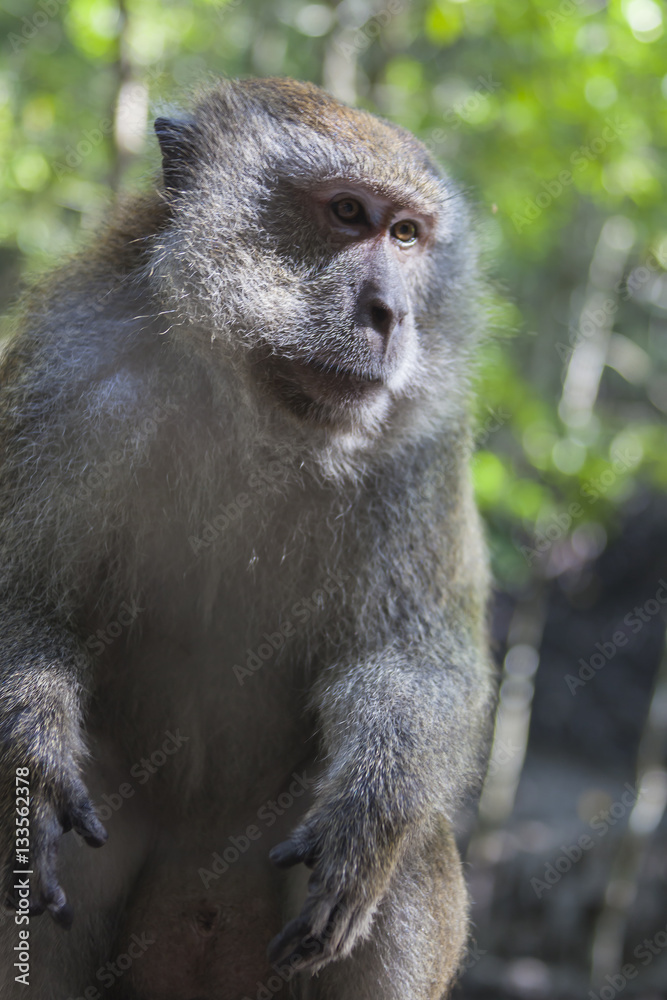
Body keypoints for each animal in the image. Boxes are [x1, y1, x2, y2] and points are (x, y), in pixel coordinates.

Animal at [0, 80, 496, 1000]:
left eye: (406, 236)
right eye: (346, 213)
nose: (391, 313)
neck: (255, 402)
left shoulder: (423, 443)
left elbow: (416, 654)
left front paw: (370, 817)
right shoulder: (68, 373)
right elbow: (25, 596)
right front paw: (34, 761)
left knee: (406, 856)